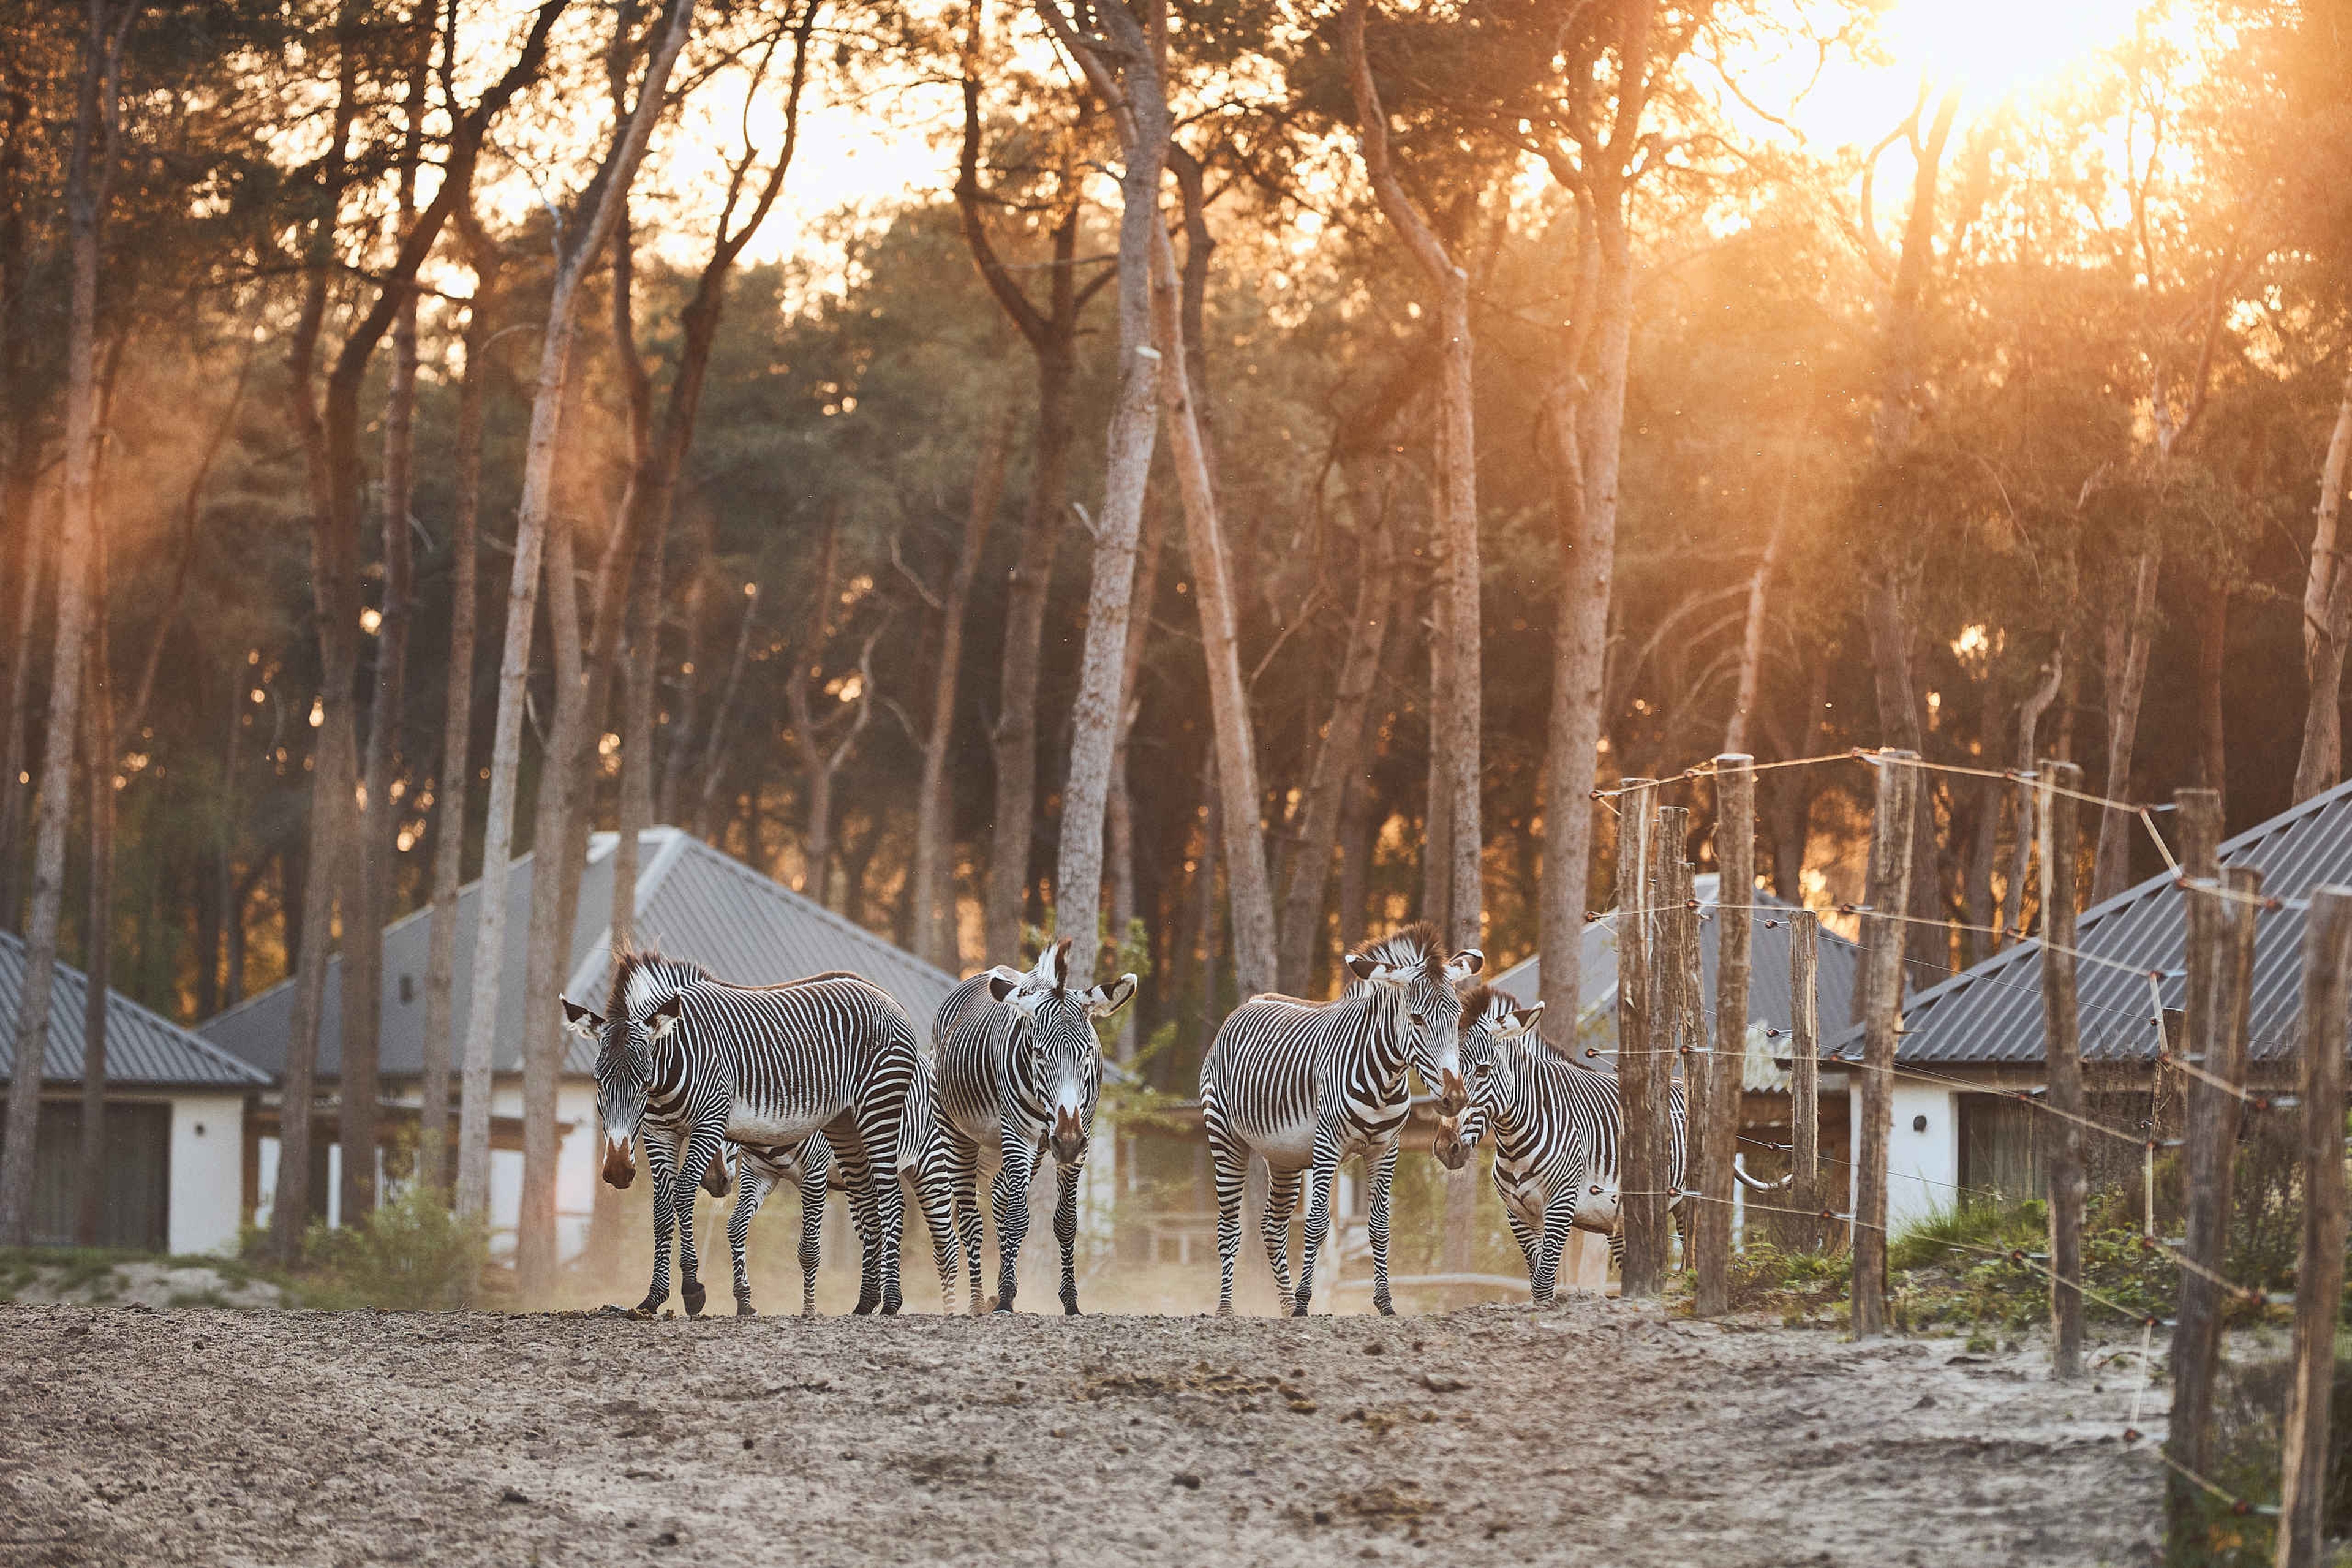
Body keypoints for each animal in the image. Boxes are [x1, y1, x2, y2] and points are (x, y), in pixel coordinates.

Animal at [561, 947, 960, 1318]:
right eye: (598, 1082)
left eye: (642, 1082)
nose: (617, 1171)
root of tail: (888, 998)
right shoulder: (662, 1133)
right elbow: (664, 1207)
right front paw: (654, 1298)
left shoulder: (715, 1120)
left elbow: (685, 1194)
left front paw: (693, 1290)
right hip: (846, 1128)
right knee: (870, 1204)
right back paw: (866, 1303)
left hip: (894, 1128)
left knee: (914, 1216)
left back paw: (904, 1304)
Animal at [932, 937, 1137, 1315]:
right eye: (1039, 1053)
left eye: (1088, 1053)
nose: (1067, 1140)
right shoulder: (1019, 1136)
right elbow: (1018, 1218)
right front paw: (1005, 1299)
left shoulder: (1080, 1140)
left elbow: (1066, 1221)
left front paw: (1070, 1302)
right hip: (958, 1135)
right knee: (970, 1218)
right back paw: (977, 1301)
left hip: (1032, 1149)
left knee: (999, 1198)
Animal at [1199, 921, 1480, 1317]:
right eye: (1417, 1019)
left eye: (1457, 1019)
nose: (1454, 1098)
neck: (1385, 1079)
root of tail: (1250, 1002)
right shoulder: (1327, 1147)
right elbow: (1318, 1224)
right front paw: (1305, 1302)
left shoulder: (1385, 1150)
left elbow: (1379, 1227)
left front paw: (1385, 1304)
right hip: (1225, 1139)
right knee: (1229, 1225)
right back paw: (1228, 1308)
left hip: (1283, 1157)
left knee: (1273, 1226)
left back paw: (1285, 1306)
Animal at [1433, 987, 1786, 1305]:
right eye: (1439, 1070)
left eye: (1483, 1070)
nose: (1446, 1148)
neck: (1515, 1139)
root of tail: (1683, 1084)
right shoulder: (1517, 1213)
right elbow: (1535, 1278)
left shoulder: (1561, 1203)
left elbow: (1545, 1280)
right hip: (1619, 1218)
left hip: (1688, 1198)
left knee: (1692, 1251)